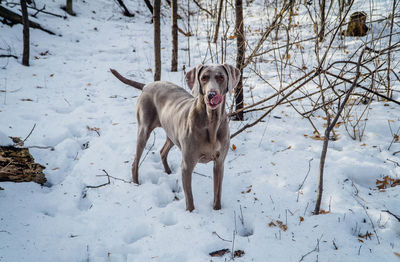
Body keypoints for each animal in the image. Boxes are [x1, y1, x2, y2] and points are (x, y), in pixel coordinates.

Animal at [109, 64, 239, 212]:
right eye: (204, 77)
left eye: (221, 77)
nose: (211, 94)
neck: (211, 122)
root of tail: (148, 85)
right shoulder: (187, 165)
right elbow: (189, 197)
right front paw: (191, 212)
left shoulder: (219, 163)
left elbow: (217, 194)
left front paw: (217, 210)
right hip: (144, 130)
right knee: (135, 161)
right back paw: (136, 183)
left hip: (171, 132)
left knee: (162, 151)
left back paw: (168, 171)